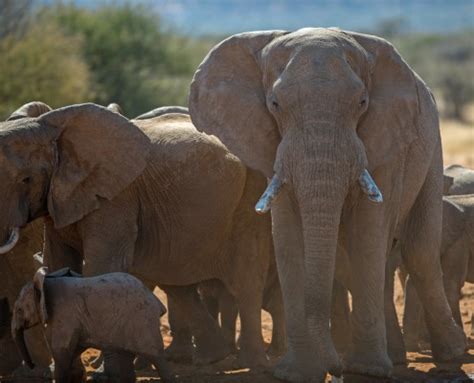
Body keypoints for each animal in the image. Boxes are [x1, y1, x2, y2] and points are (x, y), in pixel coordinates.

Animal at [11, 268, 174, 383]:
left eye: (19, 310)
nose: (32, 365)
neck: (44, 283)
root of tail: (156, 302)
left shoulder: (64, 315)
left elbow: (61, 353)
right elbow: (73, 351)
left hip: (143, 320)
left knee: (157, 358)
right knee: (126, 360)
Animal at [187, 28, 464, 382]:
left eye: (362, 103)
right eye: (274, 104)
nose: (334, 369)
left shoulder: (386, 140)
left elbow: (369, 230)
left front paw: (366, 371)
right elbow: (289, 236)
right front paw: (297, 373)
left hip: (431, 146)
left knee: (418, 251)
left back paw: (449, 355)